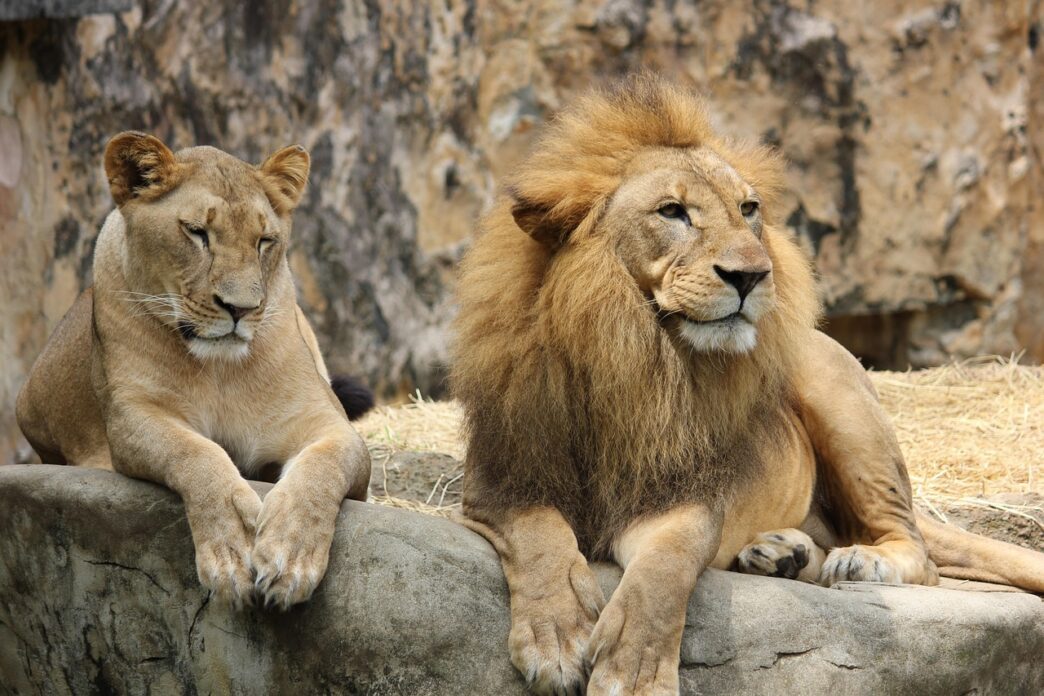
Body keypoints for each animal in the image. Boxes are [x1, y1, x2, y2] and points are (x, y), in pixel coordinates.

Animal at [16, 132, 371, 610]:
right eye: (197, 232)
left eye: (265, 240)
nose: (241, 309)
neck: (219, 370)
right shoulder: (132, 417)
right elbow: (195, 452)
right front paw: (233, 547)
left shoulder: (328, 423)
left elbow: (324, 468)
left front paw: (291, 555)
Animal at [451, 75, 1044, 695]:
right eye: (672, 211)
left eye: (748, 209)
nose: (753, 275)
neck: (633, 357)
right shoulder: (503, 481)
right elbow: (541, 538)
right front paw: (558, 638)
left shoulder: (684, 497)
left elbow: (660, 577)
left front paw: (633, 673)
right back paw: (782, 554)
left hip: (838, 396)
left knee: (917, 550)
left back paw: (861, 560)